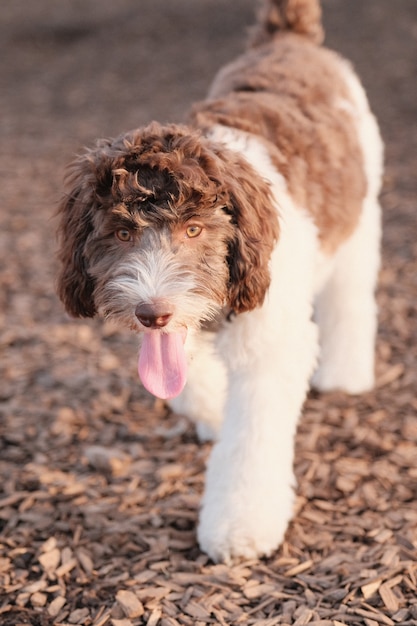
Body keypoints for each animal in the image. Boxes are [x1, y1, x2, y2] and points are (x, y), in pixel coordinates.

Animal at [57, 0, 382, 560]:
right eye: (121, 232)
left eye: (194, 229)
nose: (152, 312)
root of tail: (288, 38)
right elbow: (182, 381)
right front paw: (211, 408)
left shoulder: (271, 337)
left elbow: (252, 436)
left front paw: (239, 526)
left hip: (359, 211)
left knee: (351, 294)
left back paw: (345, 373)